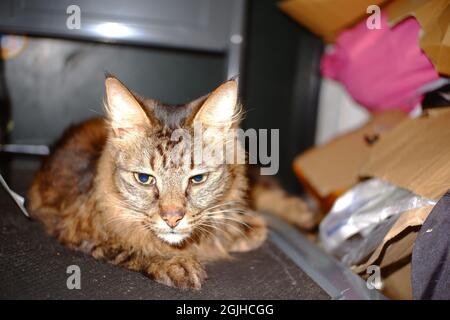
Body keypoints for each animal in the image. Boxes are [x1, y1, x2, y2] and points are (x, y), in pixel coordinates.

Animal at [27, 75, 316, 290]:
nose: (173, 219)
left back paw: (303, 215)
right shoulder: (75, 229)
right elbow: (134, 246)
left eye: (197, 179)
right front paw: (176, 262)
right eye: (145, 179)